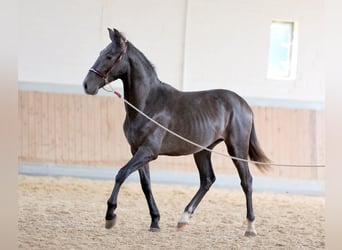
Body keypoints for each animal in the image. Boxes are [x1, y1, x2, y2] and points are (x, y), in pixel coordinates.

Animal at [83, 27, 270, 236]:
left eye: (109, 56)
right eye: (101, 53)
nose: (87, 85)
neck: (149, 103)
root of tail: (245, 105)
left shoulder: (148, 151)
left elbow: (121, 174)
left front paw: (110, 216)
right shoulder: (137, 151)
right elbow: (146, 185)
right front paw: (155, 221)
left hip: (237, 149)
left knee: (246, 181)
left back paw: (250, 227)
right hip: (202, 150)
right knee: (207, 180)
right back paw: (183, 219)